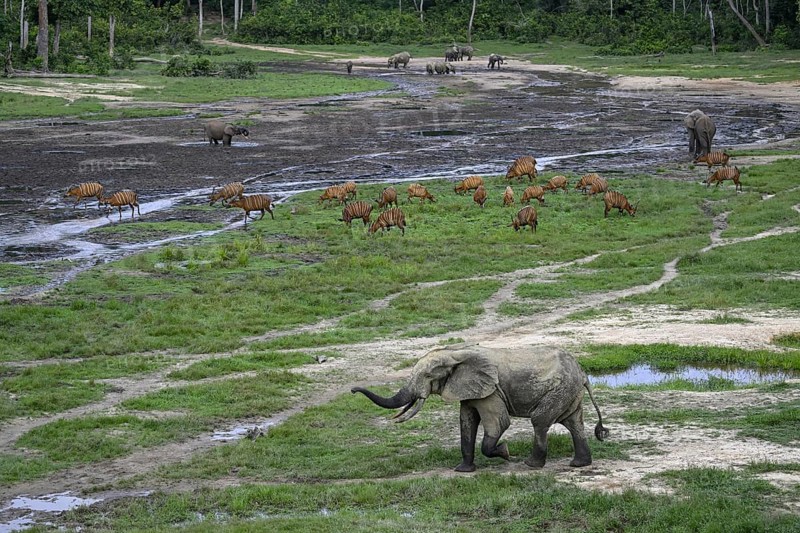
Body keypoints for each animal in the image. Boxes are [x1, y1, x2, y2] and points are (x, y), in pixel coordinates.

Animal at [352, 343, 609, 473]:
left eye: (427, 376)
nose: (353, 390)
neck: (455, 353)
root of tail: (583, 373)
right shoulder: (469, 388)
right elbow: (466, 421)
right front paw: (463, 470)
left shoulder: (491, 390)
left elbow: (499, 422)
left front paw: (504, 452)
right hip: (569, 392)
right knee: (573, 423)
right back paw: (579, 464)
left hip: (560, 389)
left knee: (540, 420)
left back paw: (531, 465)